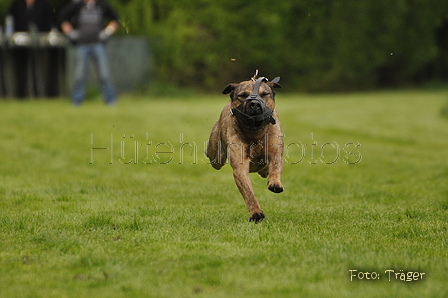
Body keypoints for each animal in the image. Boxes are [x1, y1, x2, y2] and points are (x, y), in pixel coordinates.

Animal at [206, 73, 284, 222]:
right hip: (216, 157)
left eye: (264, 94)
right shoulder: (240, 167)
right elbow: (248, 193)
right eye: (242, 95)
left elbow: (275, 167)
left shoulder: (275, 151)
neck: (255, 131)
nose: (254, 104)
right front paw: (256, 213)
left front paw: (275, 183)